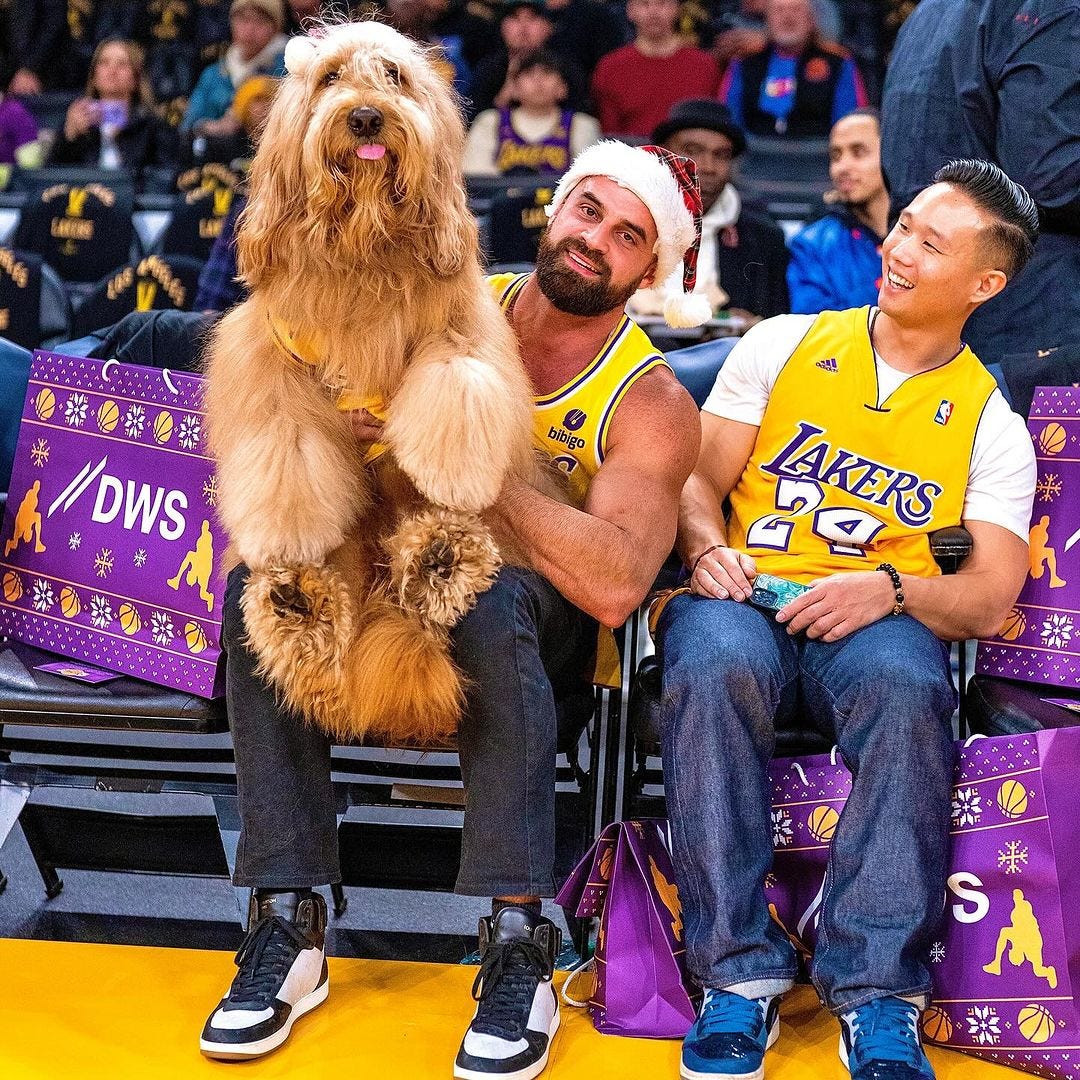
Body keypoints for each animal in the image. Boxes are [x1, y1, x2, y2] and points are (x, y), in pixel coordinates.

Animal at [203, 19, 535, 743]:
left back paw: (439, 558)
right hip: (346, 563)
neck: (363, 243)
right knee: (324, 633)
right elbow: (289, 450)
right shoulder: (274, 368)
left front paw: (453, 470)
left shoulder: (457, 326)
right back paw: (298, 604)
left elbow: (456, 382)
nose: (364, 116)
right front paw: (286, 534)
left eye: (394, 76)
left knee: (430, 575)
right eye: (330, 76)